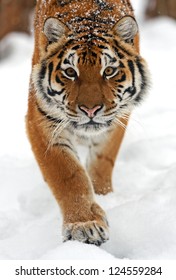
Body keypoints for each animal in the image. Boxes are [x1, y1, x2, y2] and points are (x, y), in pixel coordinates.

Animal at [26, 0, 150, 245]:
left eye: (109, 71)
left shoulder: (118, 117)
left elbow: (102, 162)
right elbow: (68, 174)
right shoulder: (41, 121)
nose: (90, 109)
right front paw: (84, 225)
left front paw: (103, 196)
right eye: (70, 72)